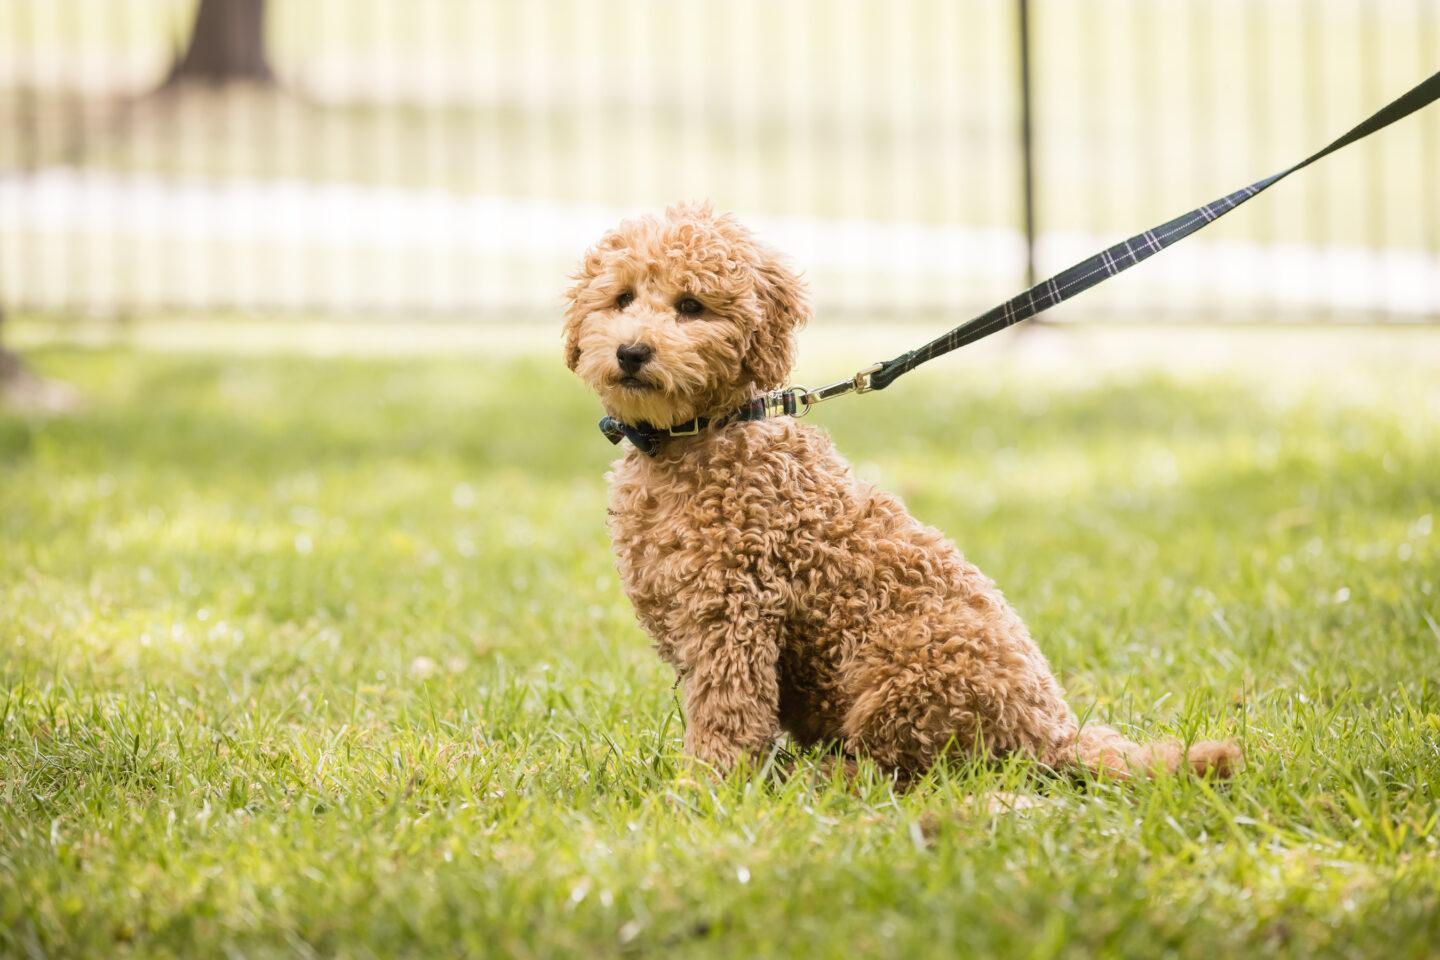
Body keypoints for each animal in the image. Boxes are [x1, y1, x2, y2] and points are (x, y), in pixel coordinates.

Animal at [561, 201, 1238, 782]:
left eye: (692, 305)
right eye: (622, 298)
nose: (631, 351)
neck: (698, 435)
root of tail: (1053, 735)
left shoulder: (733, 615)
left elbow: (727, 719)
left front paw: (703, 793)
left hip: (905, 659)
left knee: (908, 769)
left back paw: (823, 778)